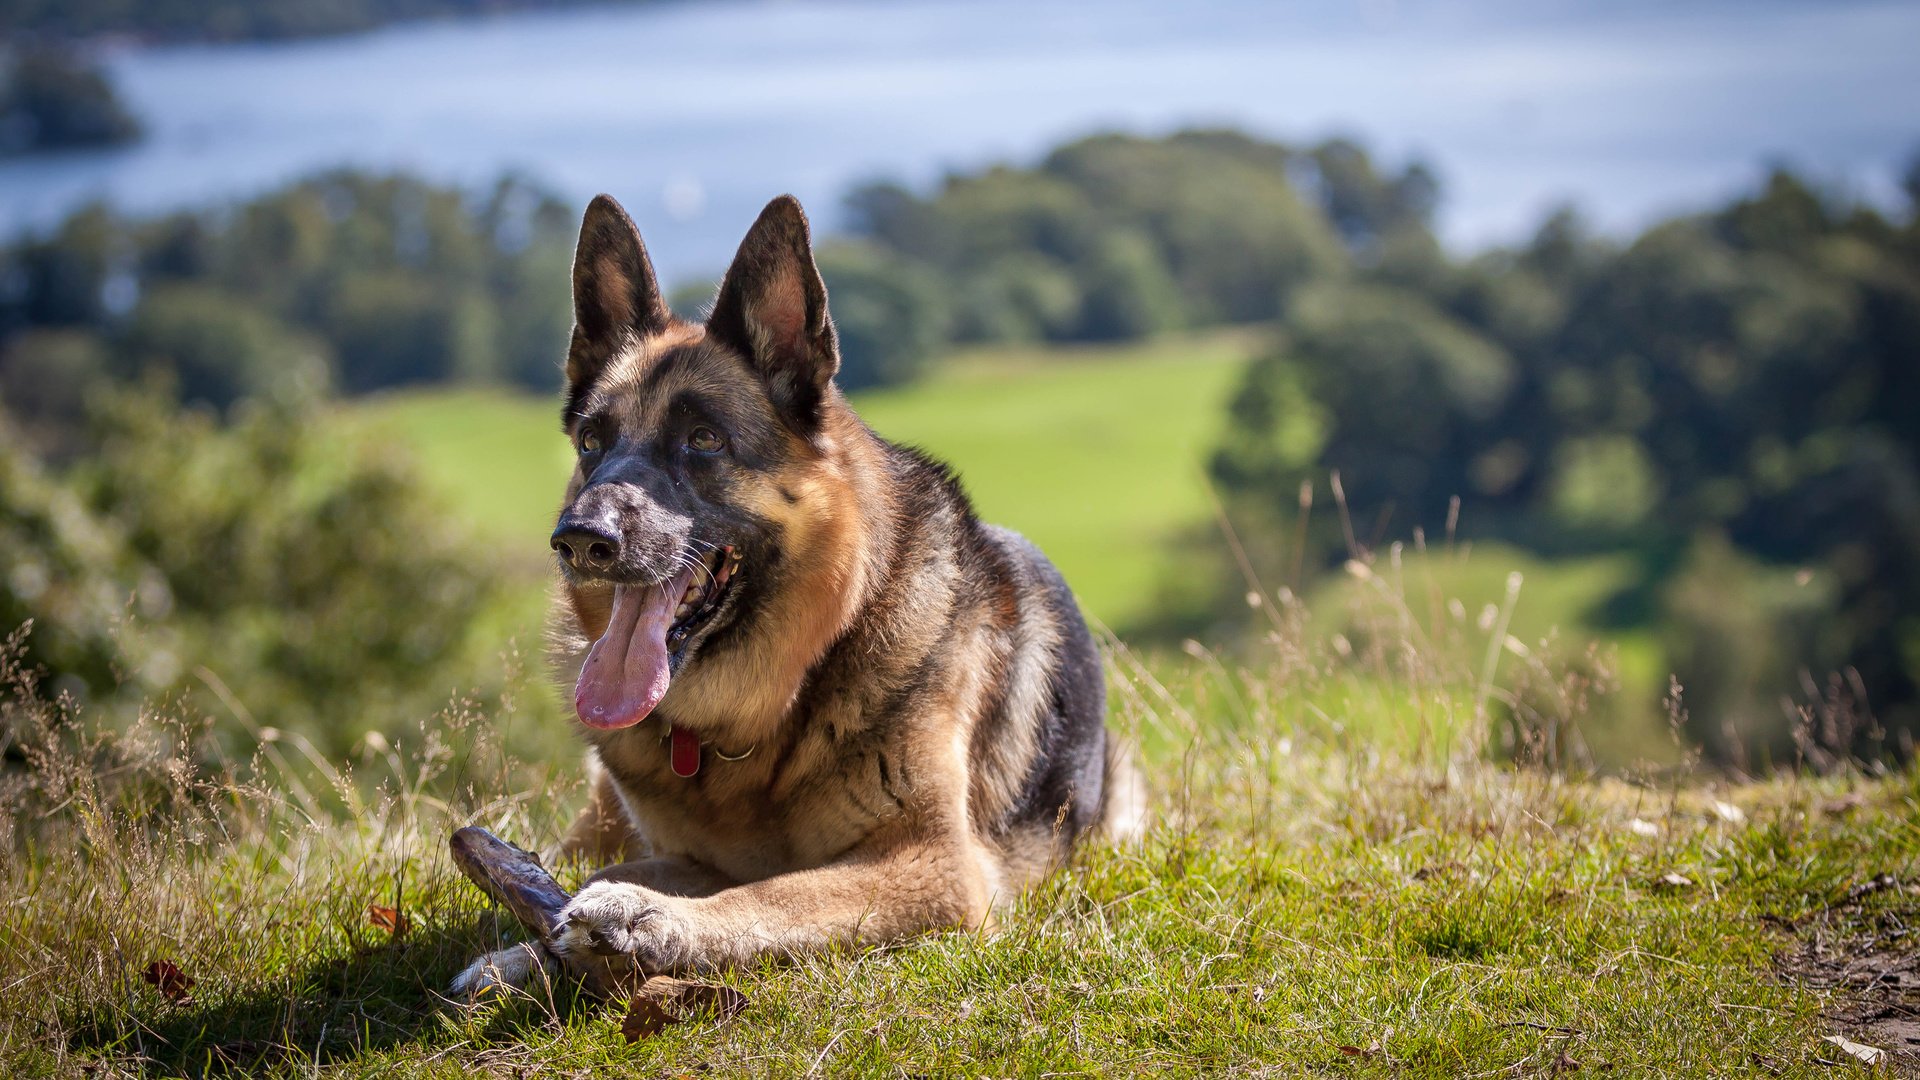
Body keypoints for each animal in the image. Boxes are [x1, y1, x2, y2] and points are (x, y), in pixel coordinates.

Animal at [451, 195, 1144, 991]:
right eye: (593, 441)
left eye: (704, 440)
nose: (580, 539)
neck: (762, 719)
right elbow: (632, 875)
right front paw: (527, 950)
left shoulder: (935, 865)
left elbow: (777, 892)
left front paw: (648, 919)